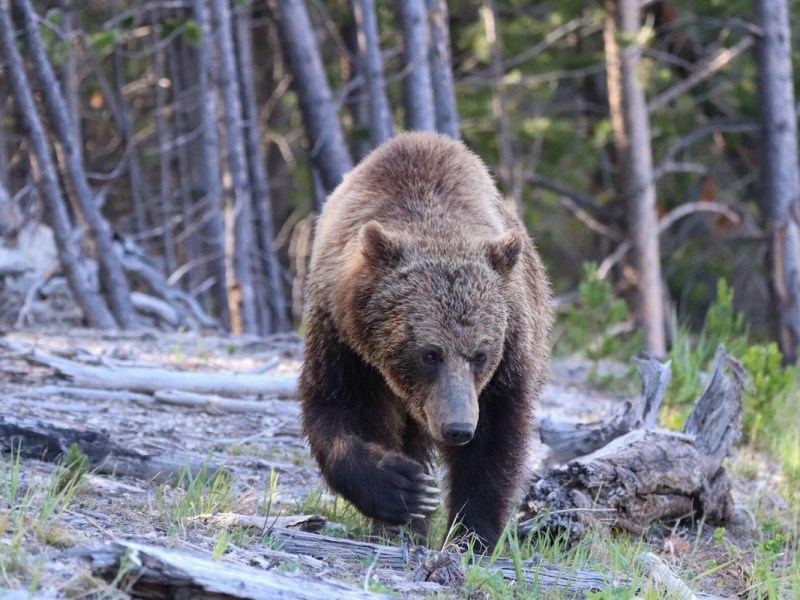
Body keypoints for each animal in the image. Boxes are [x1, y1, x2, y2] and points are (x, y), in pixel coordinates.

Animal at [299, 132, 552, 548]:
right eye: (429, 354)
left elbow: (495, 440)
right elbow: (336, 408)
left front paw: (472, 534)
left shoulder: (511, 345)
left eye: (480, 354)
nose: (458, 428)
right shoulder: (343, 339)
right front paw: (404, 489)